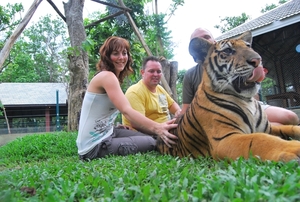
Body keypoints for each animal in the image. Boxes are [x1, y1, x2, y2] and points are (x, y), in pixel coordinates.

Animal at [156, 31, 300, 164]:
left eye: (248, 46)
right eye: (228, 51)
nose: (258, 60)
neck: (247, 100)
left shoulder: (268, 128)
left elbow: (291, 128)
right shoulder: (224, 139)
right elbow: (260, 139)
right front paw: (293, 149)